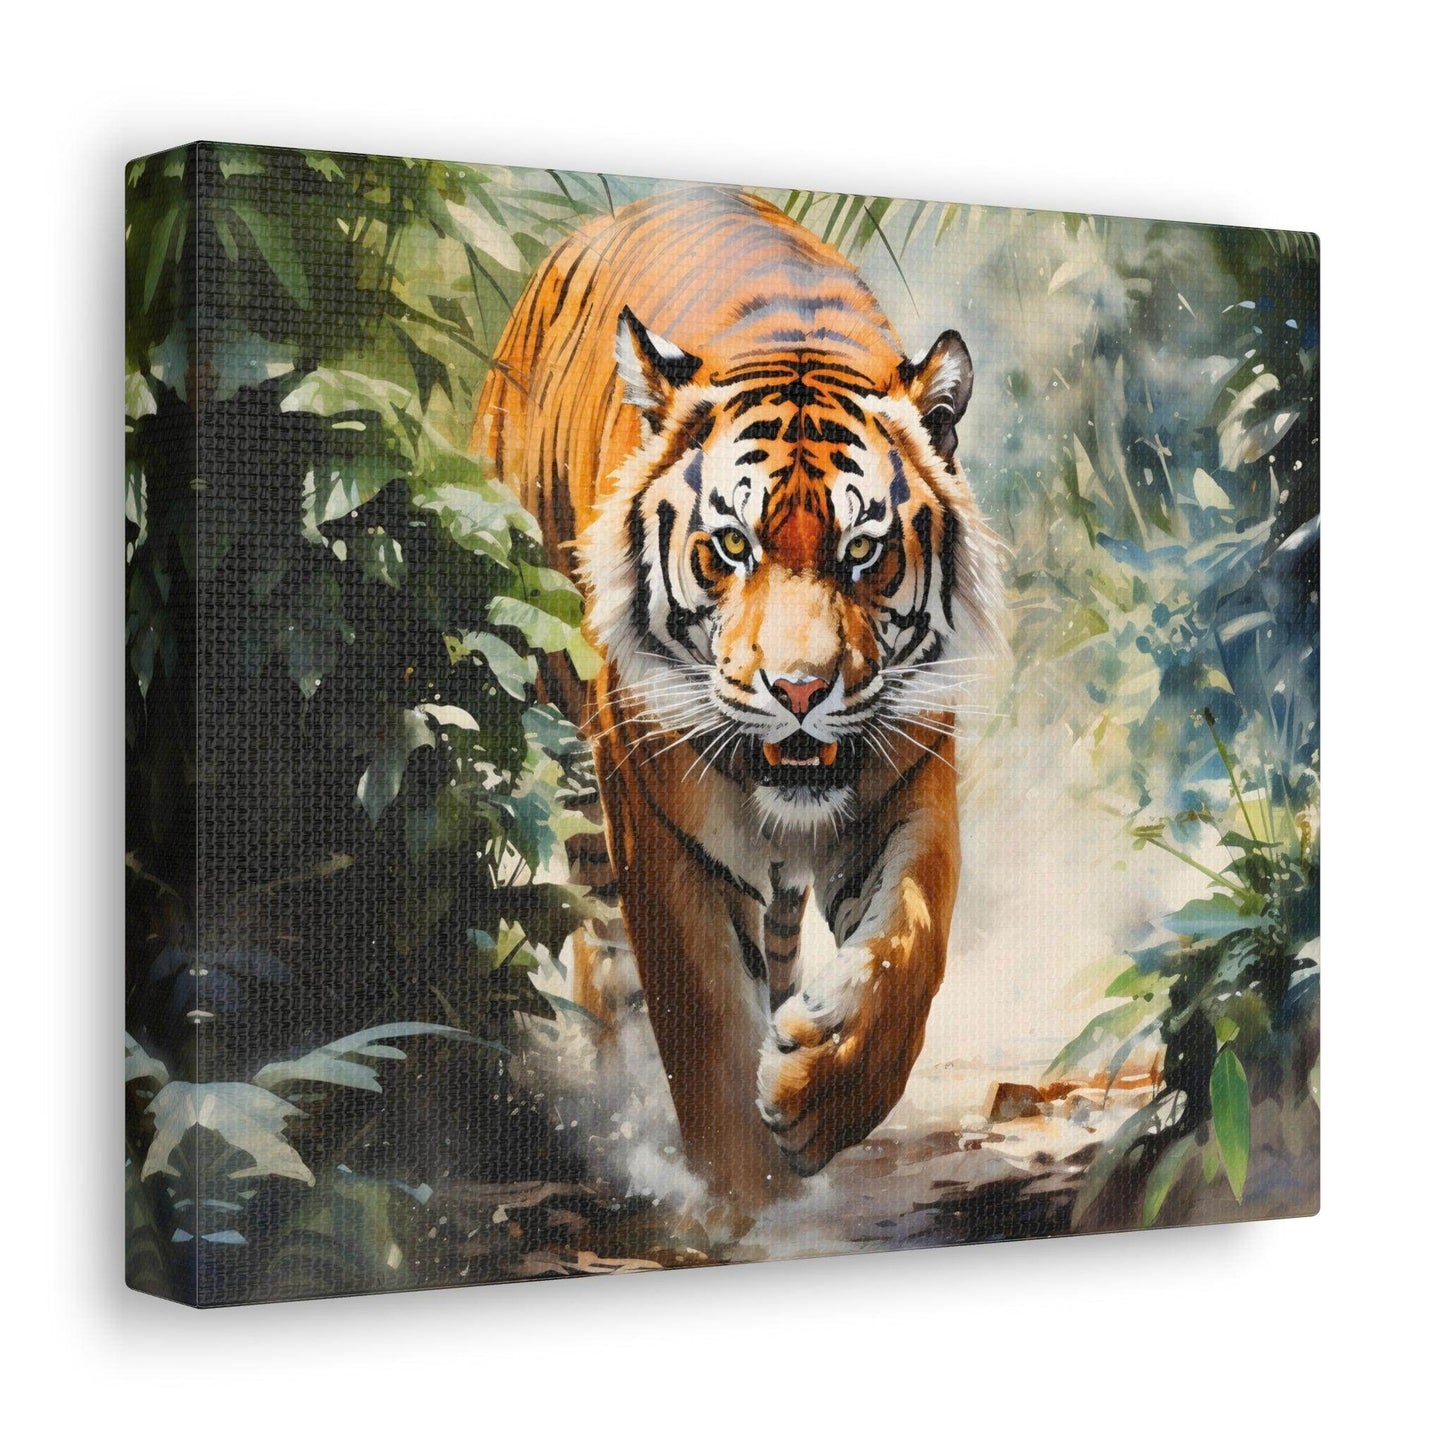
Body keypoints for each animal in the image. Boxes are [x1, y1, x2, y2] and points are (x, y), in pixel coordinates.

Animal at [473, 187, 999, 1213]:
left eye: (862, 551)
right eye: (730, 545)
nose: (798, 689)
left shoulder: (908, 776)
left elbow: (911, 941)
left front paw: (816, 1089)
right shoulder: (661, 824)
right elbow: (704, 1024)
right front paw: (745, 1202)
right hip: (568, 758)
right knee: (605, 963)